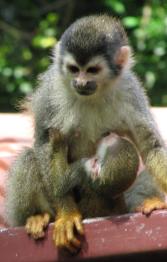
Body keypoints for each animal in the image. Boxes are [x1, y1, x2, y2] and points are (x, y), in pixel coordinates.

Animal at [5, 14, 167, 254]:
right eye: (74, 69)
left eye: (92, 70)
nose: (80, 82)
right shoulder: (52, 88)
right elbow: (44, 143)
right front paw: (66, 215)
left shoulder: (130, 88)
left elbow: (150, 146)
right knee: (29, 157)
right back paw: (35, 216)